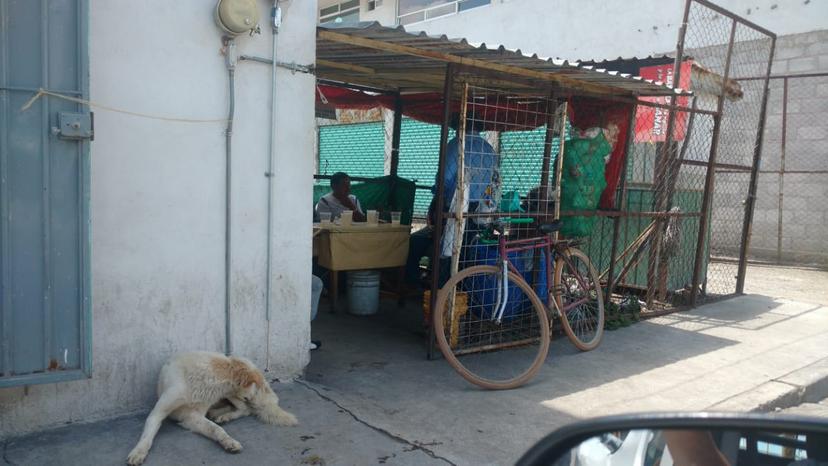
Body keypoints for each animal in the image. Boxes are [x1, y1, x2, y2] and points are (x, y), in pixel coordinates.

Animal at [126, 352, 298, 464]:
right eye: (258, 385)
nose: (262, 388)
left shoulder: (194, 415)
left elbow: (217, 429)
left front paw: (229, 442)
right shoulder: (162, 412)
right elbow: (147, 436)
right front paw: (138, 452)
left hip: (232, 396)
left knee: (245, 409)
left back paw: (222, 415)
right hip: (231, 396)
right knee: (243, 408)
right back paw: (217, 412)